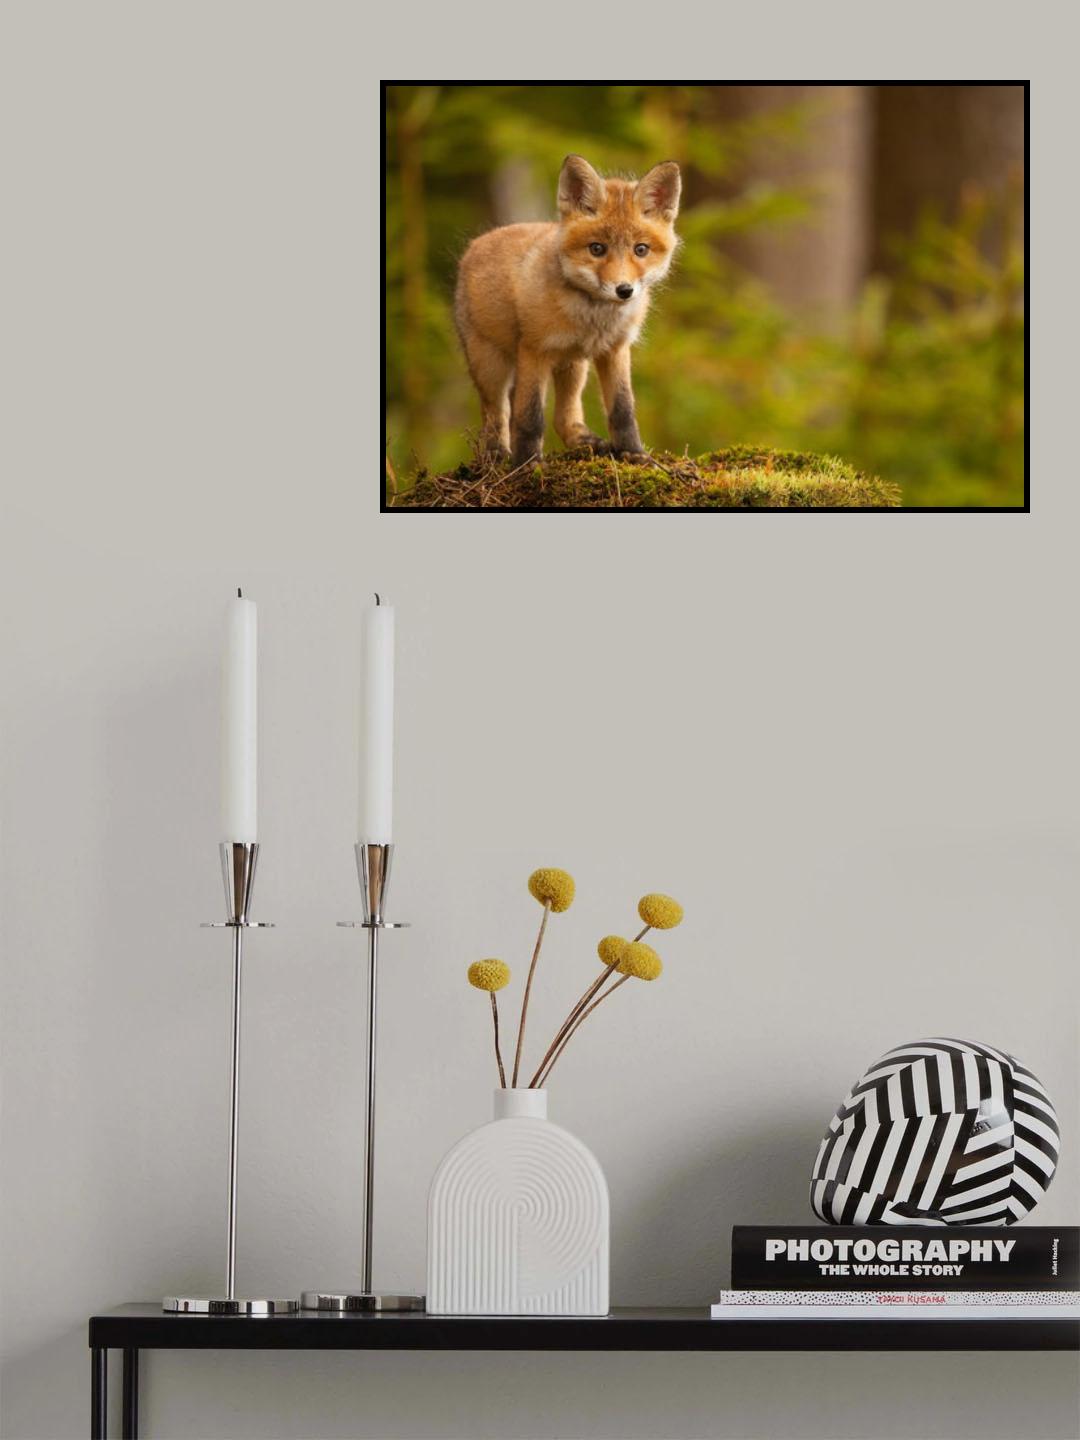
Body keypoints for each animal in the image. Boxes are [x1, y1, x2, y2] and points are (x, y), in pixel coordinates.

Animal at [454, 154, 681, 467]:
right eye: (597, 249)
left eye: (641, 250)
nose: (624, 290)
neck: (594, 319)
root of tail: (474, 245)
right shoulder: (534, 350)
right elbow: (530, 417)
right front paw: (528, 465)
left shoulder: (615, 349)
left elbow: (623, 410)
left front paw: (634, 453)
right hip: (490, 365)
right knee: (496, 414)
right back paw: (497, 454)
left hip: (573, 365)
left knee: (564, 416)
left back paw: (583, 440)